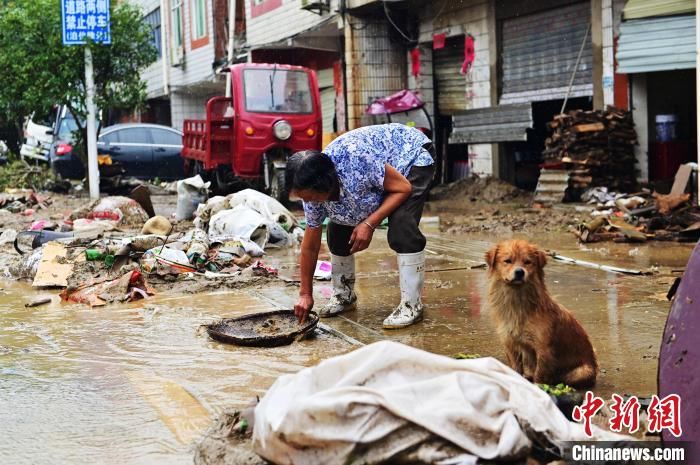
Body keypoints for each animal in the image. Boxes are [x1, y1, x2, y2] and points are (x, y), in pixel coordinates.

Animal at [486, 239, 596, 388]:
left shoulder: (543, 349)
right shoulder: (510, 343)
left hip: (583, 371)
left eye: (527, 262)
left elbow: (540, 374)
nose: (519, 272)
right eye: (508, 261)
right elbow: (515, 369)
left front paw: (538, 387)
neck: (518, 301)